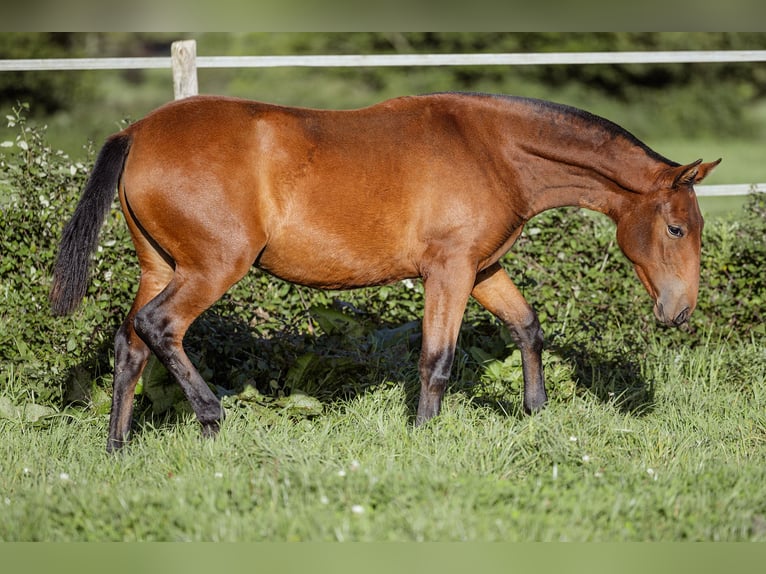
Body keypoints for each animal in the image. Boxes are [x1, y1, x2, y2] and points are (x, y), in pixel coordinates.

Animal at [51, 93, 724, 454]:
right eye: (676, 229)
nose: (680, 311)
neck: (493, 150)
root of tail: (137, 132)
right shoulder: (449, 272)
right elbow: (437, 360)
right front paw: (425, 437)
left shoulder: (484, 268)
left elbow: (528, 327)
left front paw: (536, 413)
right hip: (212, 268)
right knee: (160, 326)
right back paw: (212, 419)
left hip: (161, 265)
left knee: (131, 342)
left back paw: (117, 448)